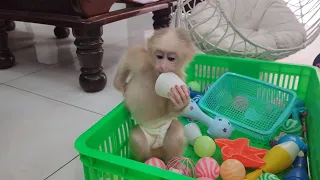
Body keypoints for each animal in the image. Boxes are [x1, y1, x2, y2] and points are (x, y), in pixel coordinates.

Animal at [114, 27, 196, 162]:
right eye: (159, 56)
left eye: (171, 59)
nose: (162, 66)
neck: (156, 74)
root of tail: (157, 151)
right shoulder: (141, 58)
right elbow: (127, 60)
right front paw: (120, 84)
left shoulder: (179, 77)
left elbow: (169, 109)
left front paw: (181, 101)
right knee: (138, 140)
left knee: (176, 133)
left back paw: (173, 163)